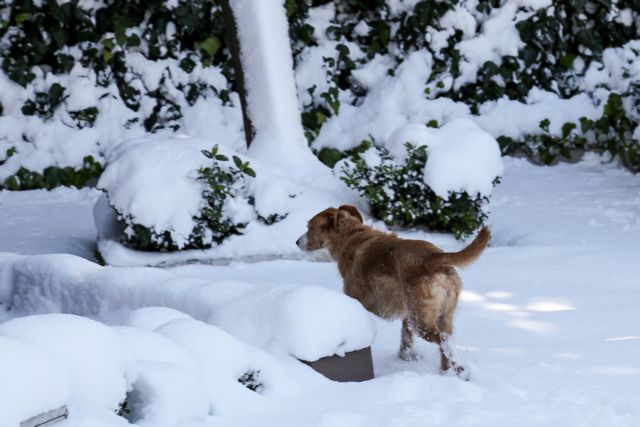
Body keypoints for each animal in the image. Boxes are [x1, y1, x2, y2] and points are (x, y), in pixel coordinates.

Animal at [296, 206, 490, 380]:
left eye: (309, 227)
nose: (297, 242)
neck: (351, 235)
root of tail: (433, 257)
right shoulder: (406, 313)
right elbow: (405, 336)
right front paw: (406, 356)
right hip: (441, 314)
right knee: (445, 340)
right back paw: (446, 373)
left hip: (421, 320)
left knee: (443, 340)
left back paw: (461, 372)